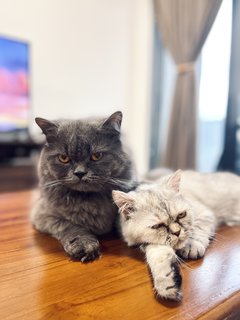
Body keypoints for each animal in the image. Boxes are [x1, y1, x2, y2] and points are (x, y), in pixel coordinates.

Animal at [31, 111, 135, 262]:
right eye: (64, 158)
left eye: (96, 156)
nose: (80, 173)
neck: (87, 200)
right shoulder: (43, 214)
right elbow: (69, 226)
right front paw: (84, 245)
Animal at [112, 171, 240, 302]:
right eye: (158, 226)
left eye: (181, 215)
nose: (177, 232)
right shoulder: (148, 244)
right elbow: (157, 254)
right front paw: (167, 280)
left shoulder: (204, 213)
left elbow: (197, 230)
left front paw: (191, 246)